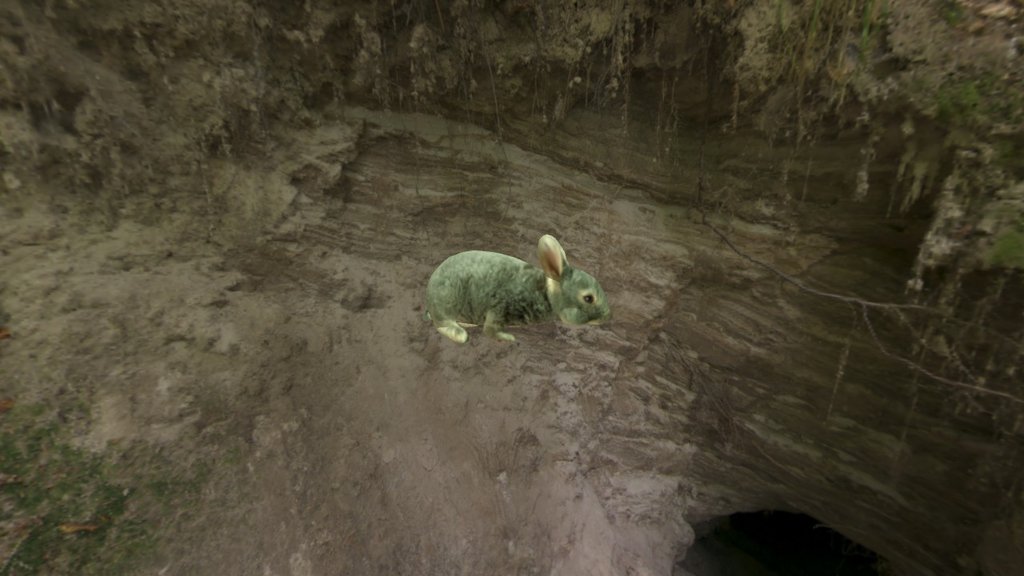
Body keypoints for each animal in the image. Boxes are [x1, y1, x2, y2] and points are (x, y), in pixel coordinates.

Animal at [425, 234, 610, 343]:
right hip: (448, 302)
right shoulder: (500, 308)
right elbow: (490, 330)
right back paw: (459, 333)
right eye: (588, 298)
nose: (608, 316)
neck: (546, 295)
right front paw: (509, 338)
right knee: (444, 325)